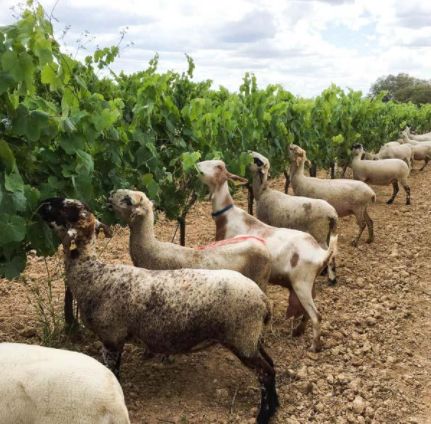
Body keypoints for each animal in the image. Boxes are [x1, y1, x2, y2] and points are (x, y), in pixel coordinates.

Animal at [249, 151, 339, 285]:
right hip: (328, 231)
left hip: (319, 232)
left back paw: (331, 278)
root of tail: (332, 213)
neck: (262, 192)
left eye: (257, 160)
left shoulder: (265, 223)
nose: (249, 152)